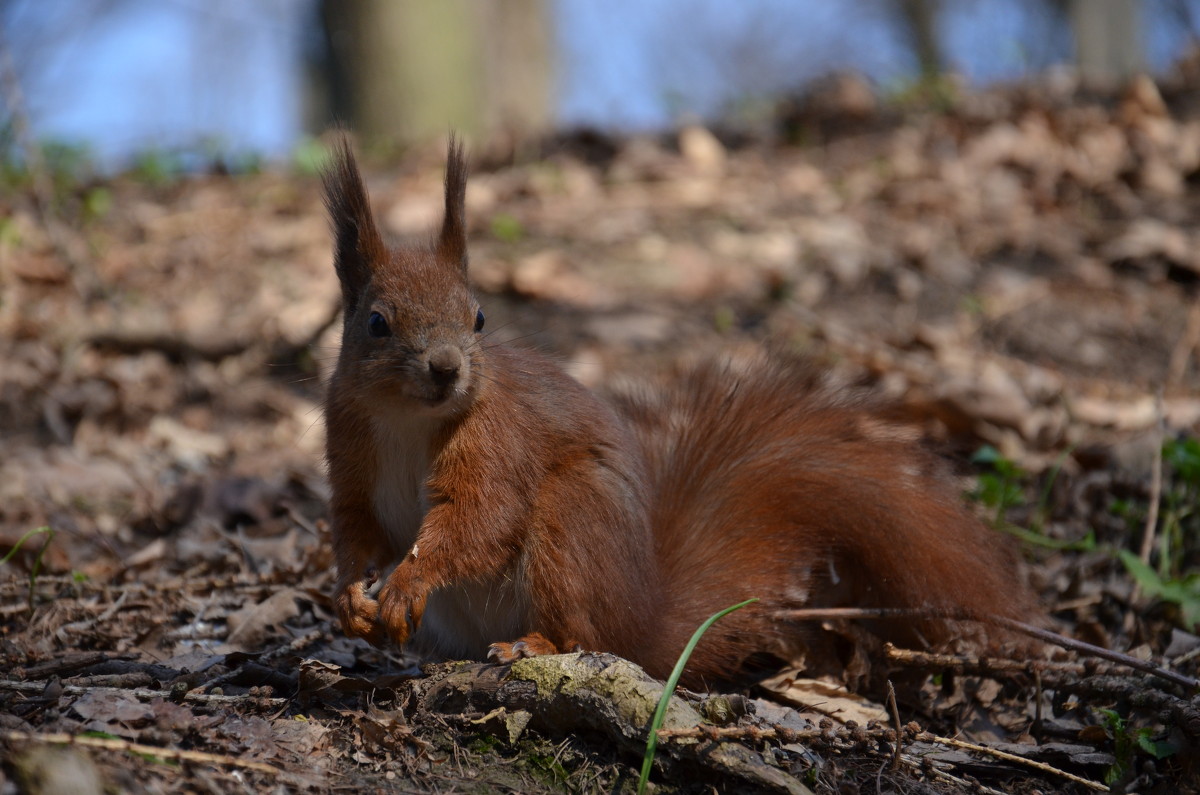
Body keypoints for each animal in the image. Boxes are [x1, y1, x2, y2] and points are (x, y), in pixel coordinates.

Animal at [321, 136, 1032, 691]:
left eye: (479, 318)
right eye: (376, 323)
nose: (447, 368)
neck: (407, 420)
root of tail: (646, 619)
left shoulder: (499, 440)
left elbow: (480, 516)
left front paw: (407, 582)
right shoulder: (349, 445)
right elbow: (359, 526)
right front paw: (351, 594)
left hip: (573, 524)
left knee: (587, 634)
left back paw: (535, 644)